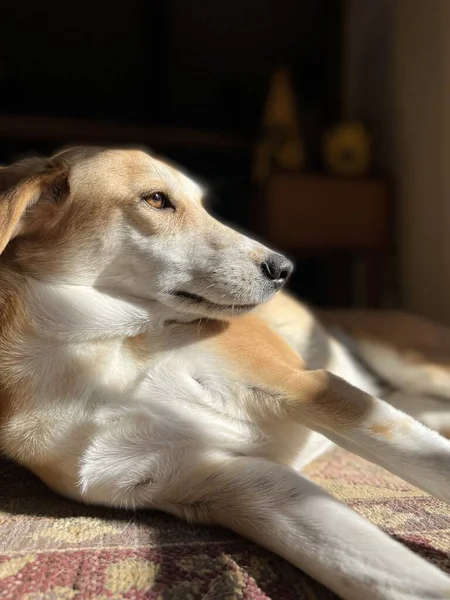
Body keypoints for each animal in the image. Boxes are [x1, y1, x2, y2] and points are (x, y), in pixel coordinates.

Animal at [0, 146, 450, 600]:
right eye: (157, 199)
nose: (284, 269)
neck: (96, 349)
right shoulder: (233, 483)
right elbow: (378, 573)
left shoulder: (306, 387)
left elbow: (432, 465)